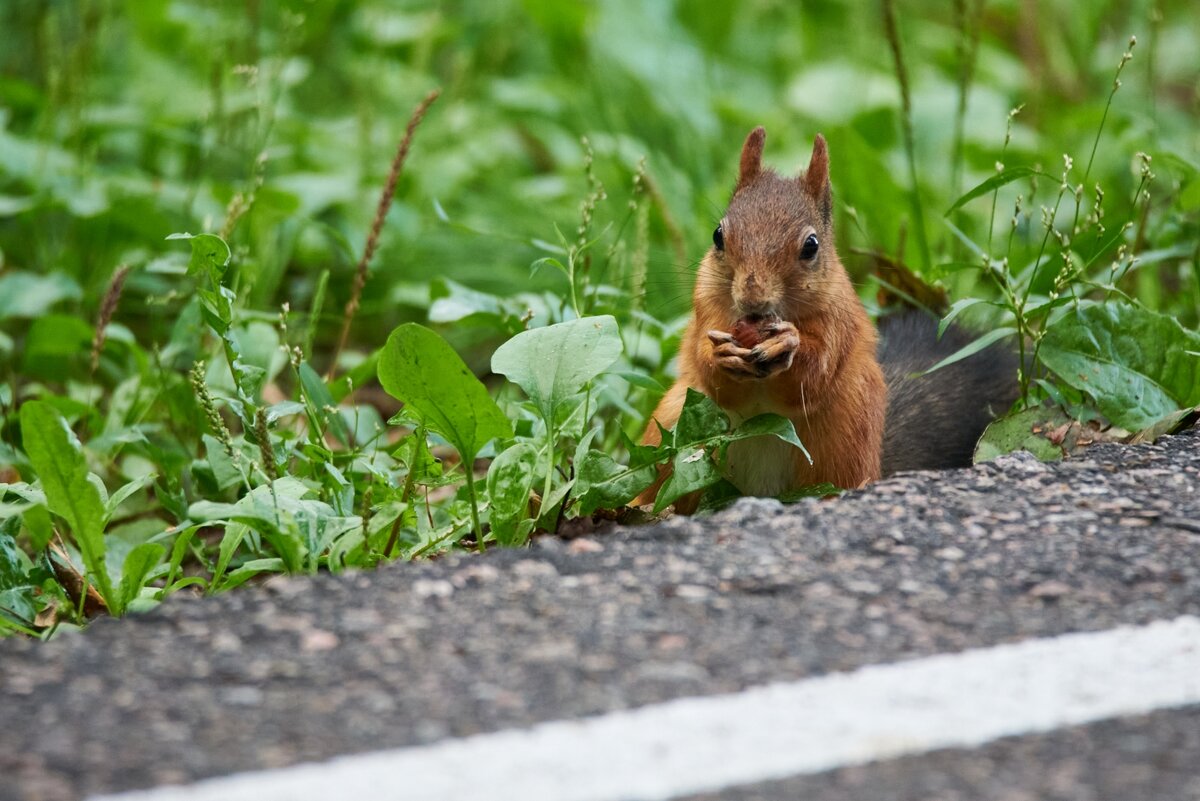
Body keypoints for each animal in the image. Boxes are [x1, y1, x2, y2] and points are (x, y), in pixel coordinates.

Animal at [633, 127, 1017, 510]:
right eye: (718, 236)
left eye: (811, 246)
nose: (752, 299)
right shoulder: (707, 308)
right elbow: (712, 375)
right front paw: (719, 355)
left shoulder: (837, 321)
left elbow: (814, 373)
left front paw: (787, 345)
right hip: (671, 425)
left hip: (842, 441)